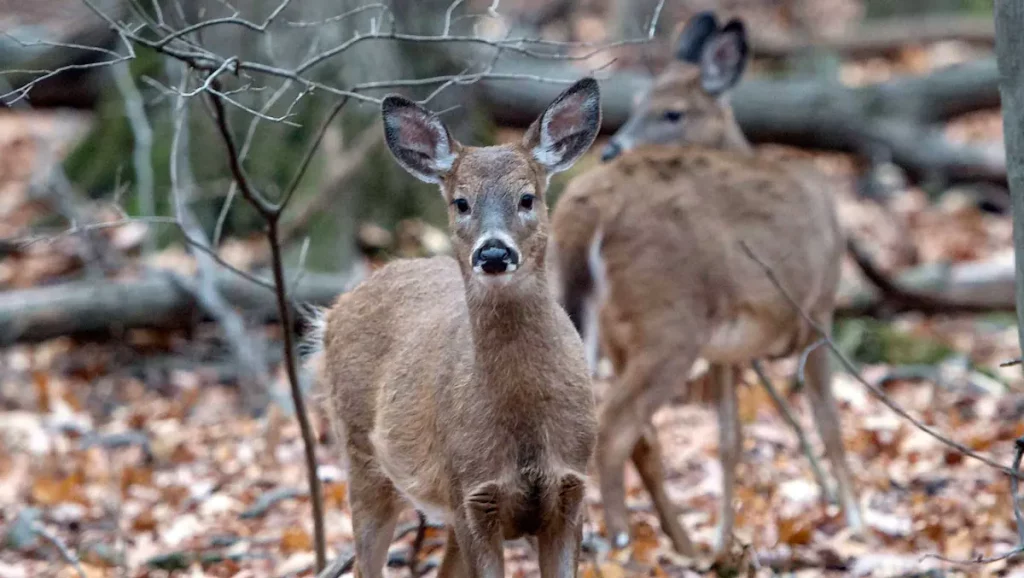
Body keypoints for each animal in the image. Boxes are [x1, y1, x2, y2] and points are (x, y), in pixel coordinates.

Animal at [307, 77, 602, 578]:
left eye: (528, 198)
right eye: (461, 202)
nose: (494, 252)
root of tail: (332, 312)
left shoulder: (572, 489)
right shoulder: (471, 494)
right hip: (363, 458)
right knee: (366, 561)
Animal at [548, 12, 860, 553]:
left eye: (672, 113)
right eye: (638, 104)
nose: (610, 149)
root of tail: (584, 207)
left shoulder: (727, 351)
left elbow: (730, 440)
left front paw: (723, 539)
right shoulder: (819, 310)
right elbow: (830, 422)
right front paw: (860, 526)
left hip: (612, 326)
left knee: (634, 435)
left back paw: (678, 545)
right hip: (668, 317)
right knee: (614, 429)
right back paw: (622, 543)